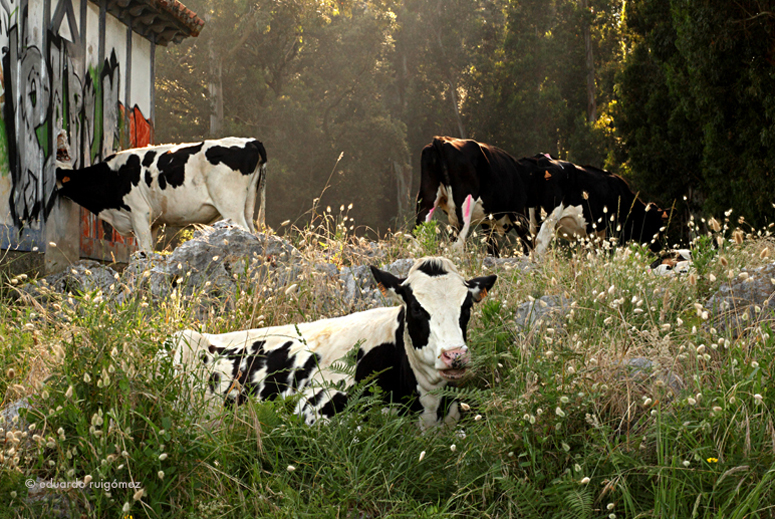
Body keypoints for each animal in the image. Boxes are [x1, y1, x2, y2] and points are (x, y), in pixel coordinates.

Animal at [56, 137, 267, 252]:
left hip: (230, 205)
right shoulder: (153, 222)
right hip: (247, 205)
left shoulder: (139, 213)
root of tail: (250, 141)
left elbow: (145, 249)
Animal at [416, 136, 545, 255]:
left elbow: (492, 248)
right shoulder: (517, 211)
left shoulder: (487, 222)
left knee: (417, 237)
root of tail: (441, 140)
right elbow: (527, 244)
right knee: (456, 246)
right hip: (463, 209)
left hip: (426, 201)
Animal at [532, 155, 668, 257]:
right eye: (658, 225)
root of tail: (544, 160)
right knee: (540, 242)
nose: (659, 249)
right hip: (550, 217)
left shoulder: (592, 235)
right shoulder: (613, 231)